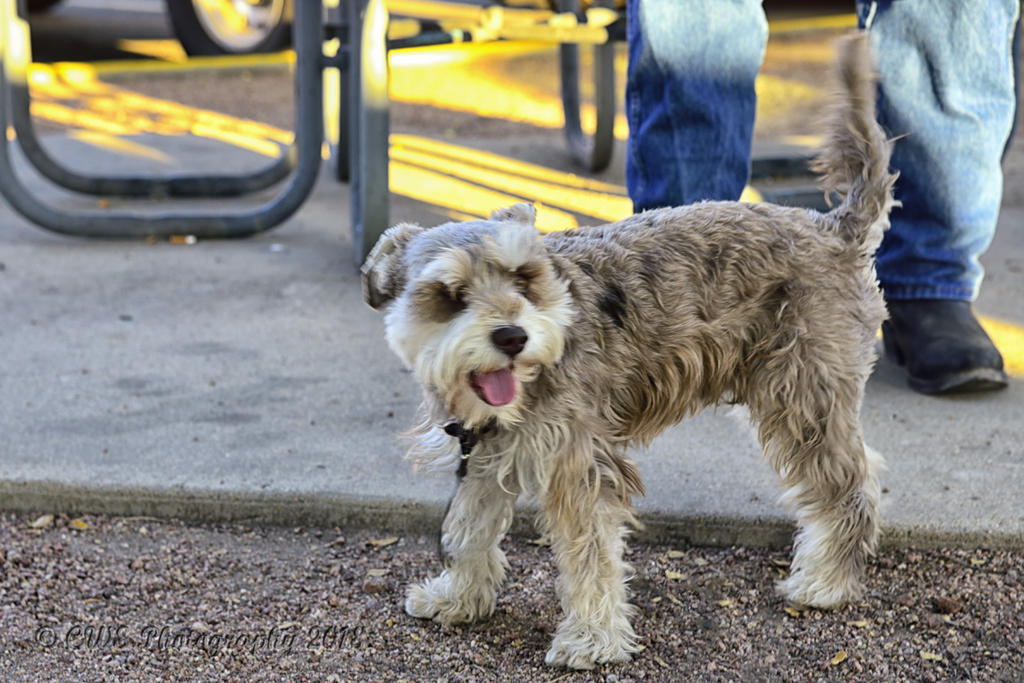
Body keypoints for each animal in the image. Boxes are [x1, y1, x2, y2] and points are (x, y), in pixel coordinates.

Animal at [361, 33, 895, 670]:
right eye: (450, 294)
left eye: (523, 277)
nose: (512, 336)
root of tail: (834, 229)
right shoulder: (487, 455)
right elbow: (469, 526)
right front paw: (458, 597)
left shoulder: (579, 463)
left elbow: (590, 553)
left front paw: (592, 639)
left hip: (804, 398)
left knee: (850, 487)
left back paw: (827, 583)